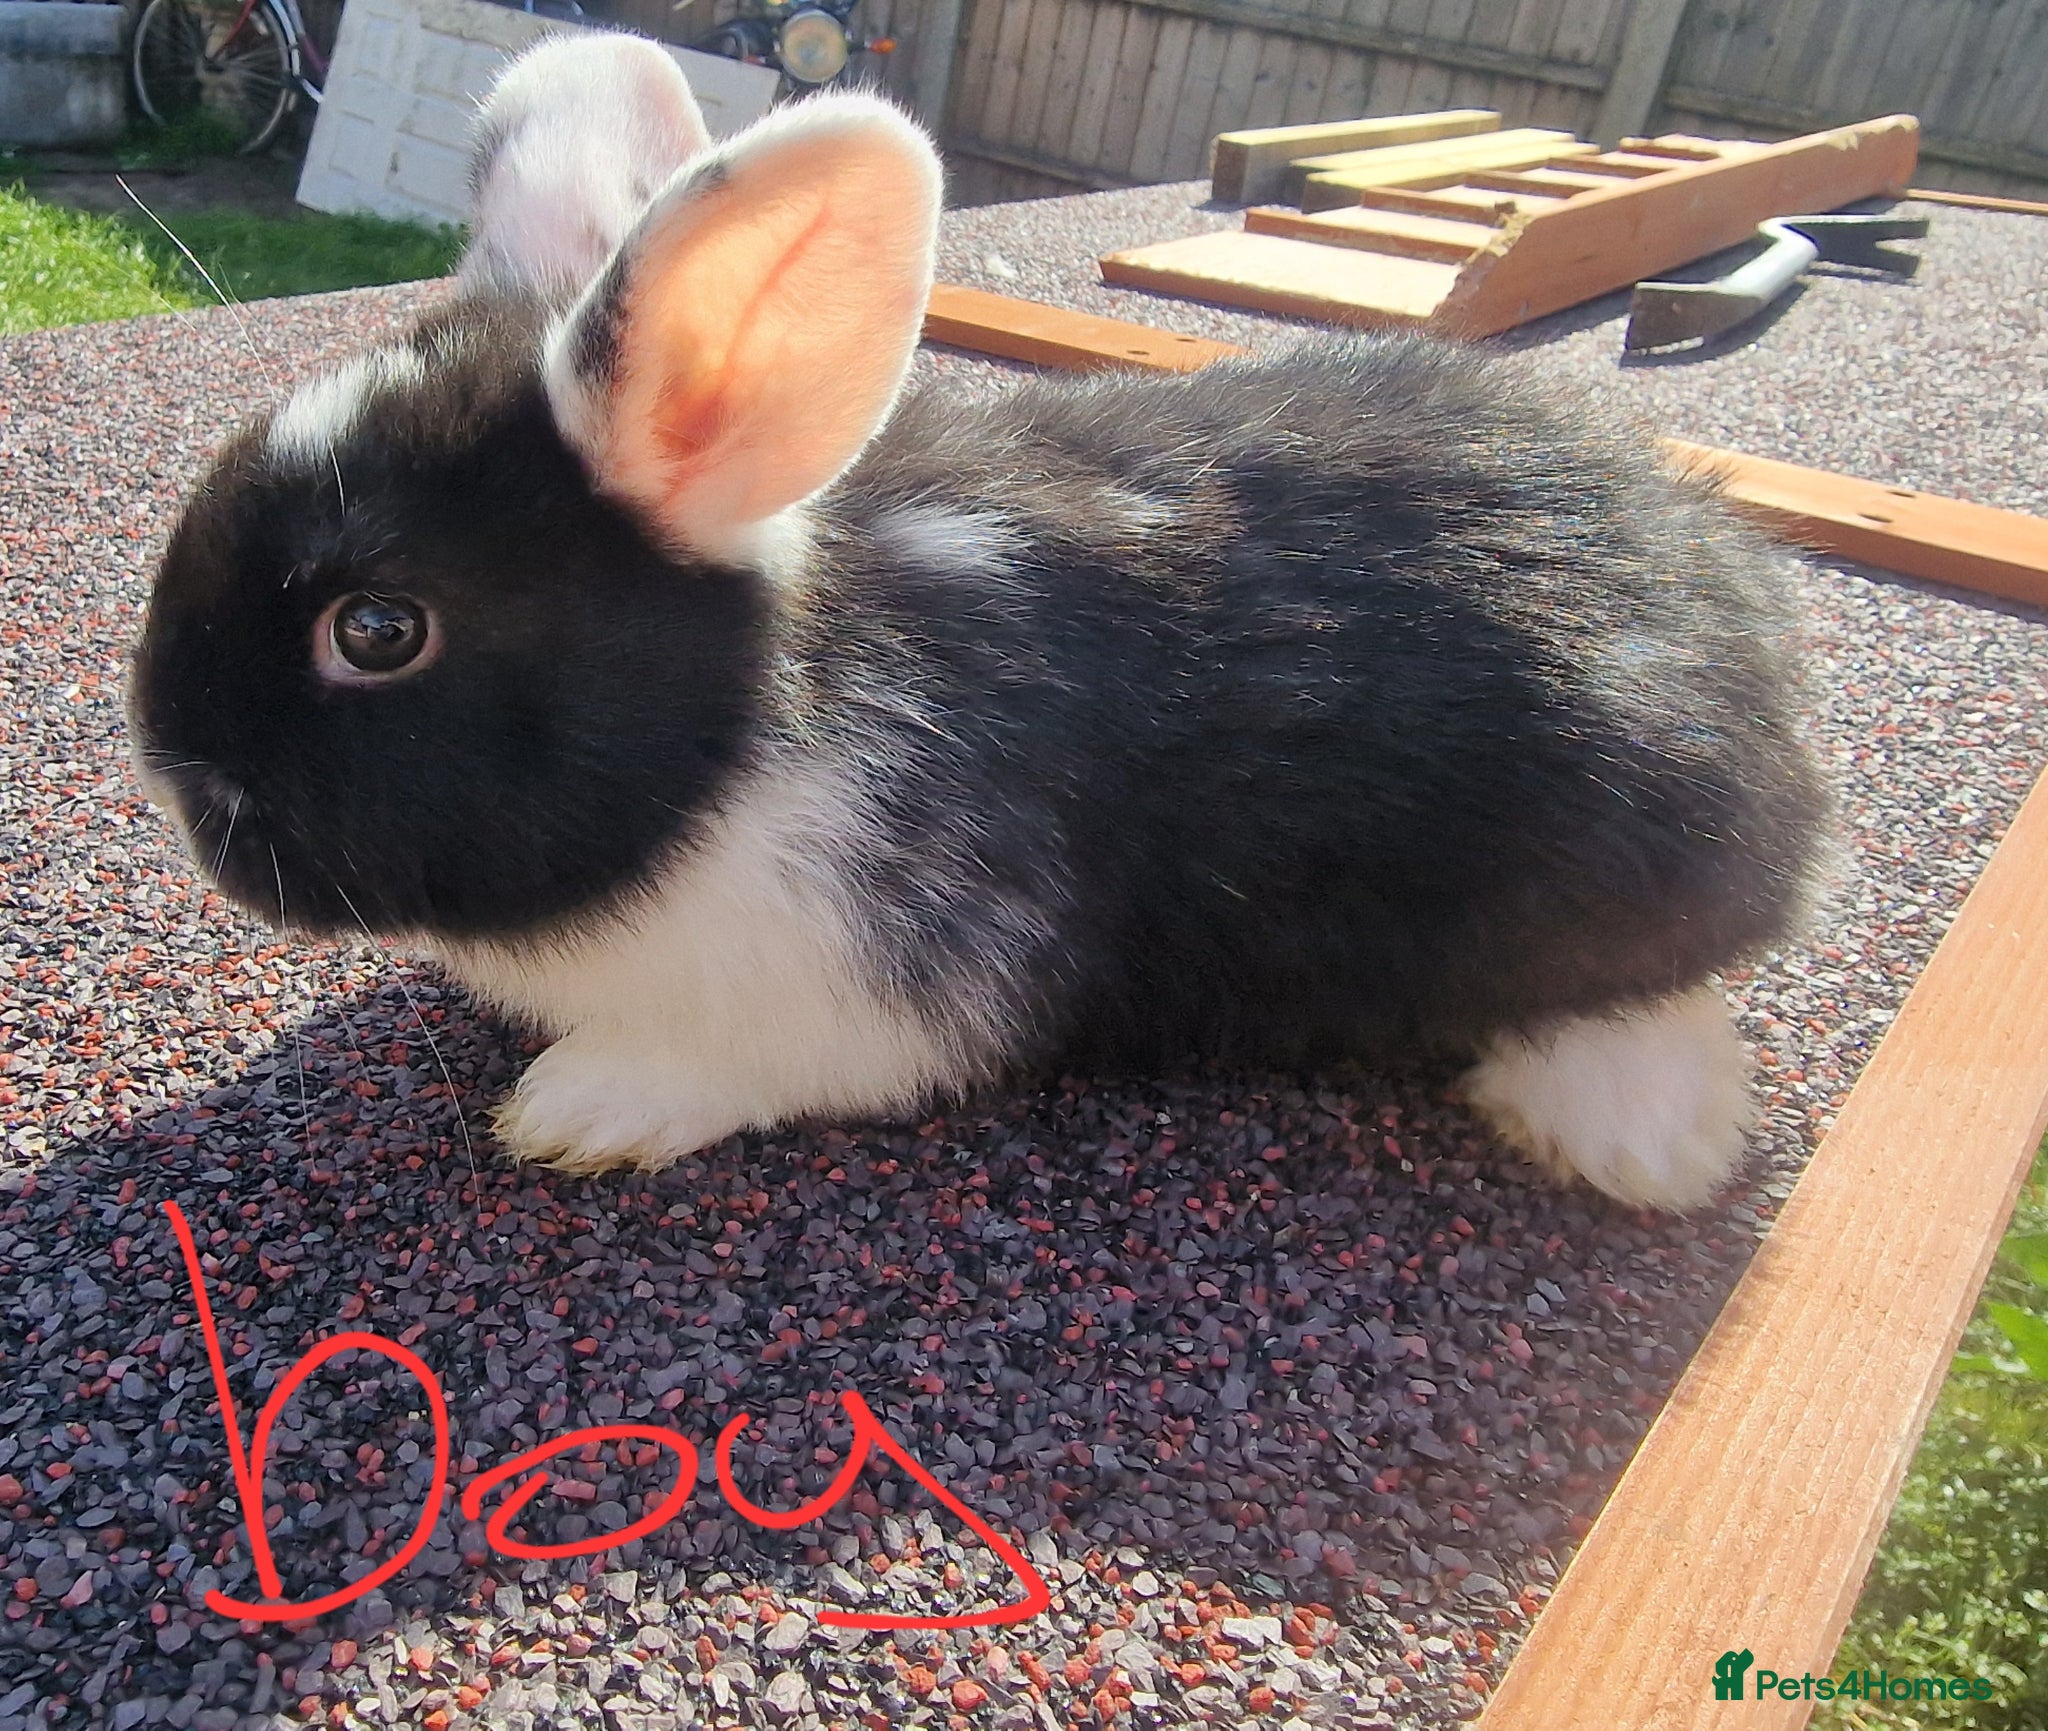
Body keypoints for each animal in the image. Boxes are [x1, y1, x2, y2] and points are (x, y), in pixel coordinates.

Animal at [128, 86, 1831, 1213]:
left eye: (378, 629)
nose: (171, 762)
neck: (751, 738)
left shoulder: (879, 988)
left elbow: (724, 1063)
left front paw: (576, 1104)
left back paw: (1638, 1141)